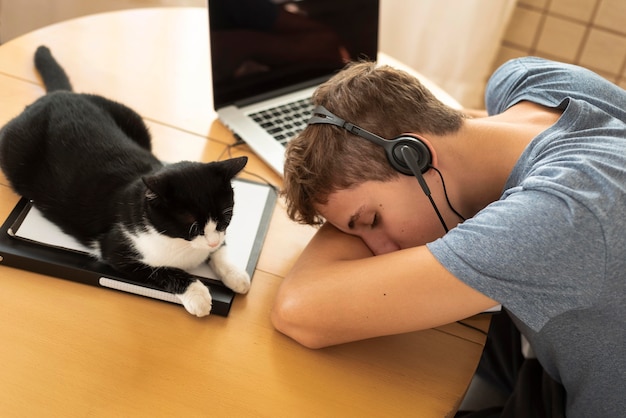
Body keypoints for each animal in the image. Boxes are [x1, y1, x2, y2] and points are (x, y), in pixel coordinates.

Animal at [0, 45, 249, 316]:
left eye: (226, 216)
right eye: (192, 225)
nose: (211, 241)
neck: (183, 247)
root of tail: (58, 95)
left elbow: (221, 251)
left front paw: (236, 275)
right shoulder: (116, 250)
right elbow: (162, 270)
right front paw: (198, 295)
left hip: (131, 117)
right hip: (12, 148)